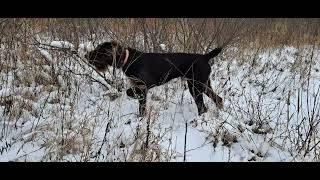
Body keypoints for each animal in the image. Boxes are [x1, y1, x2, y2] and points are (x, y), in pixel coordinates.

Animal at [85, 40, 225, 116]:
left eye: (100, 51)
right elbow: (141, 108)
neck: (128, 59)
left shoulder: (143, 87)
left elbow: (130, 92)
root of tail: (205, 57)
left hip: (196, 86)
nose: (86, 55)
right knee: (218, 99)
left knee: (203, 106)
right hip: (201, 84)